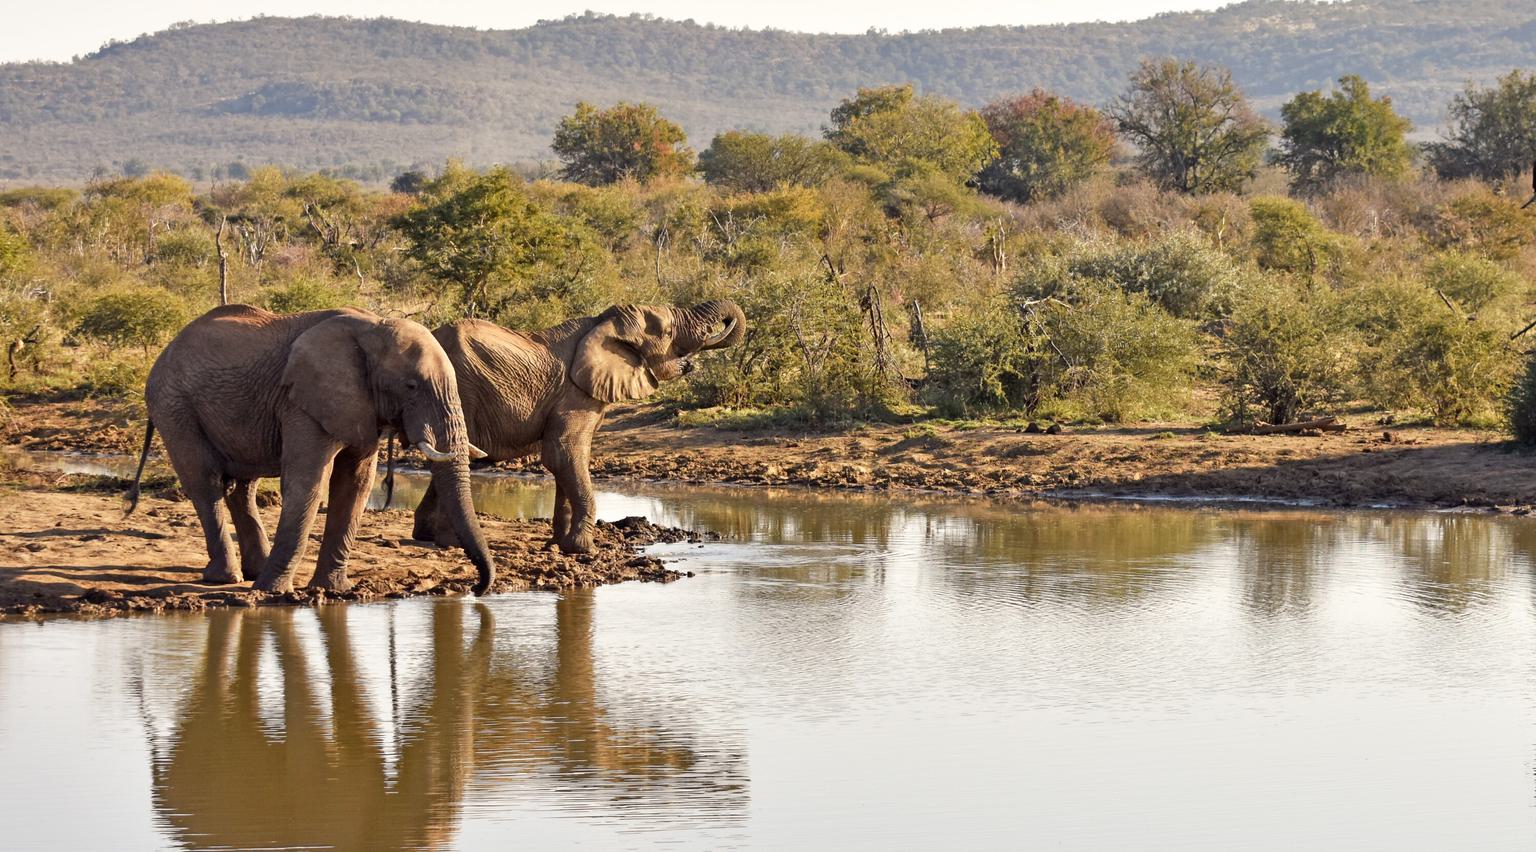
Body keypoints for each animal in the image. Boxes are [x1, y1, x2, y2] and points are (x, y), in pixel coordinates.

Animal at [126, 304, 496, 595]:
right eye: (411, 386)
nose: (475, 589)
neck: (372, 327)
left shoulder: (360, 405)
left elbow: (356, 484)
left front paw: (333, 590)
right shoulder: (303, 401)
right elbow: (308, 480)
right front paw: (273, 592)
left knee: (242, 487)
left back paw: (253, 572)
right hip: (174, 406)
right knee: (206, 483)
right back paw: (227, 579)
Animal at [412, 300, 745, 554]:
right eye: (667, 332)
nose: (691, 361)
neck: (602, 324)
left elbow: (569, 461)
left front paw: (559, 544)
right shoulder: (574, 394)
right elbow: (563, 454)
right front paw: (584, 549)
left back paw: (427, 536)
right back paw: (449, 542)